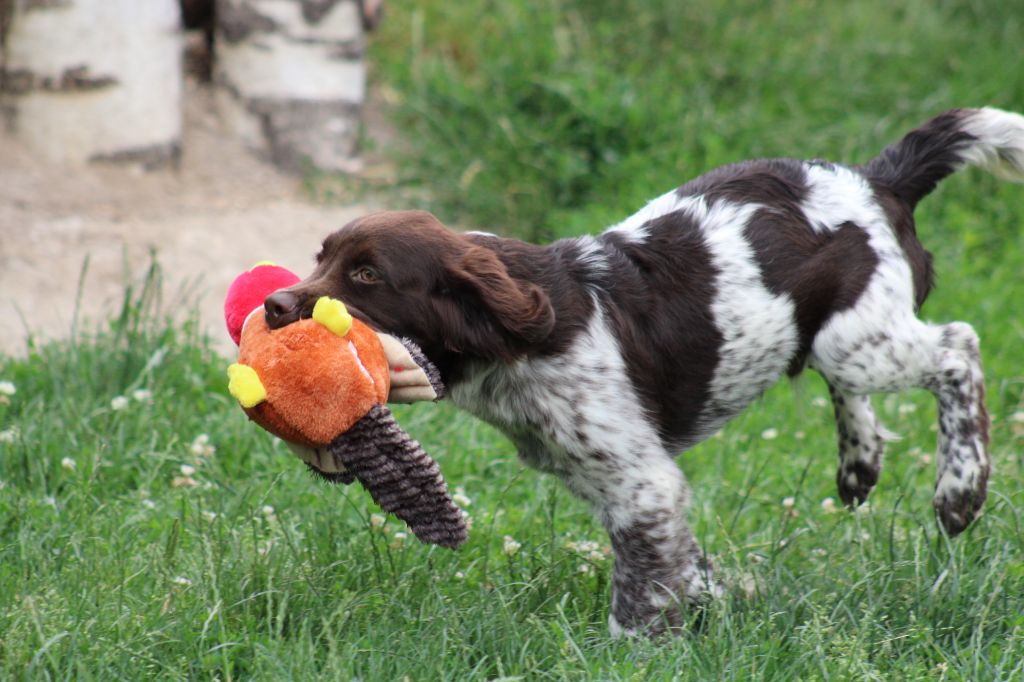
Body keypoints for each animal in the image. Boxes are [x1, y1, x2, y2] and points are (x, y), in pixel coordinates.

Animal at [262, 106, 1024, 630]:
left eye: (366, 275)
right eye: (321, 256)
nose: (271, 306)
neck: (518, 343)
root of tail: (876, 179)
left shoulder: (640, 483)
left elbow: (643, 586)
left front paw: (638, 649)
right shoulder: (613, 482)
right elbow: (682, 563)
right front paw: (724, 601)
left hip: (856, 339)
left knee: (958, 347)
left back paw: (959, 492)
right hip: (834, 338)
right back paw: (859, 464)